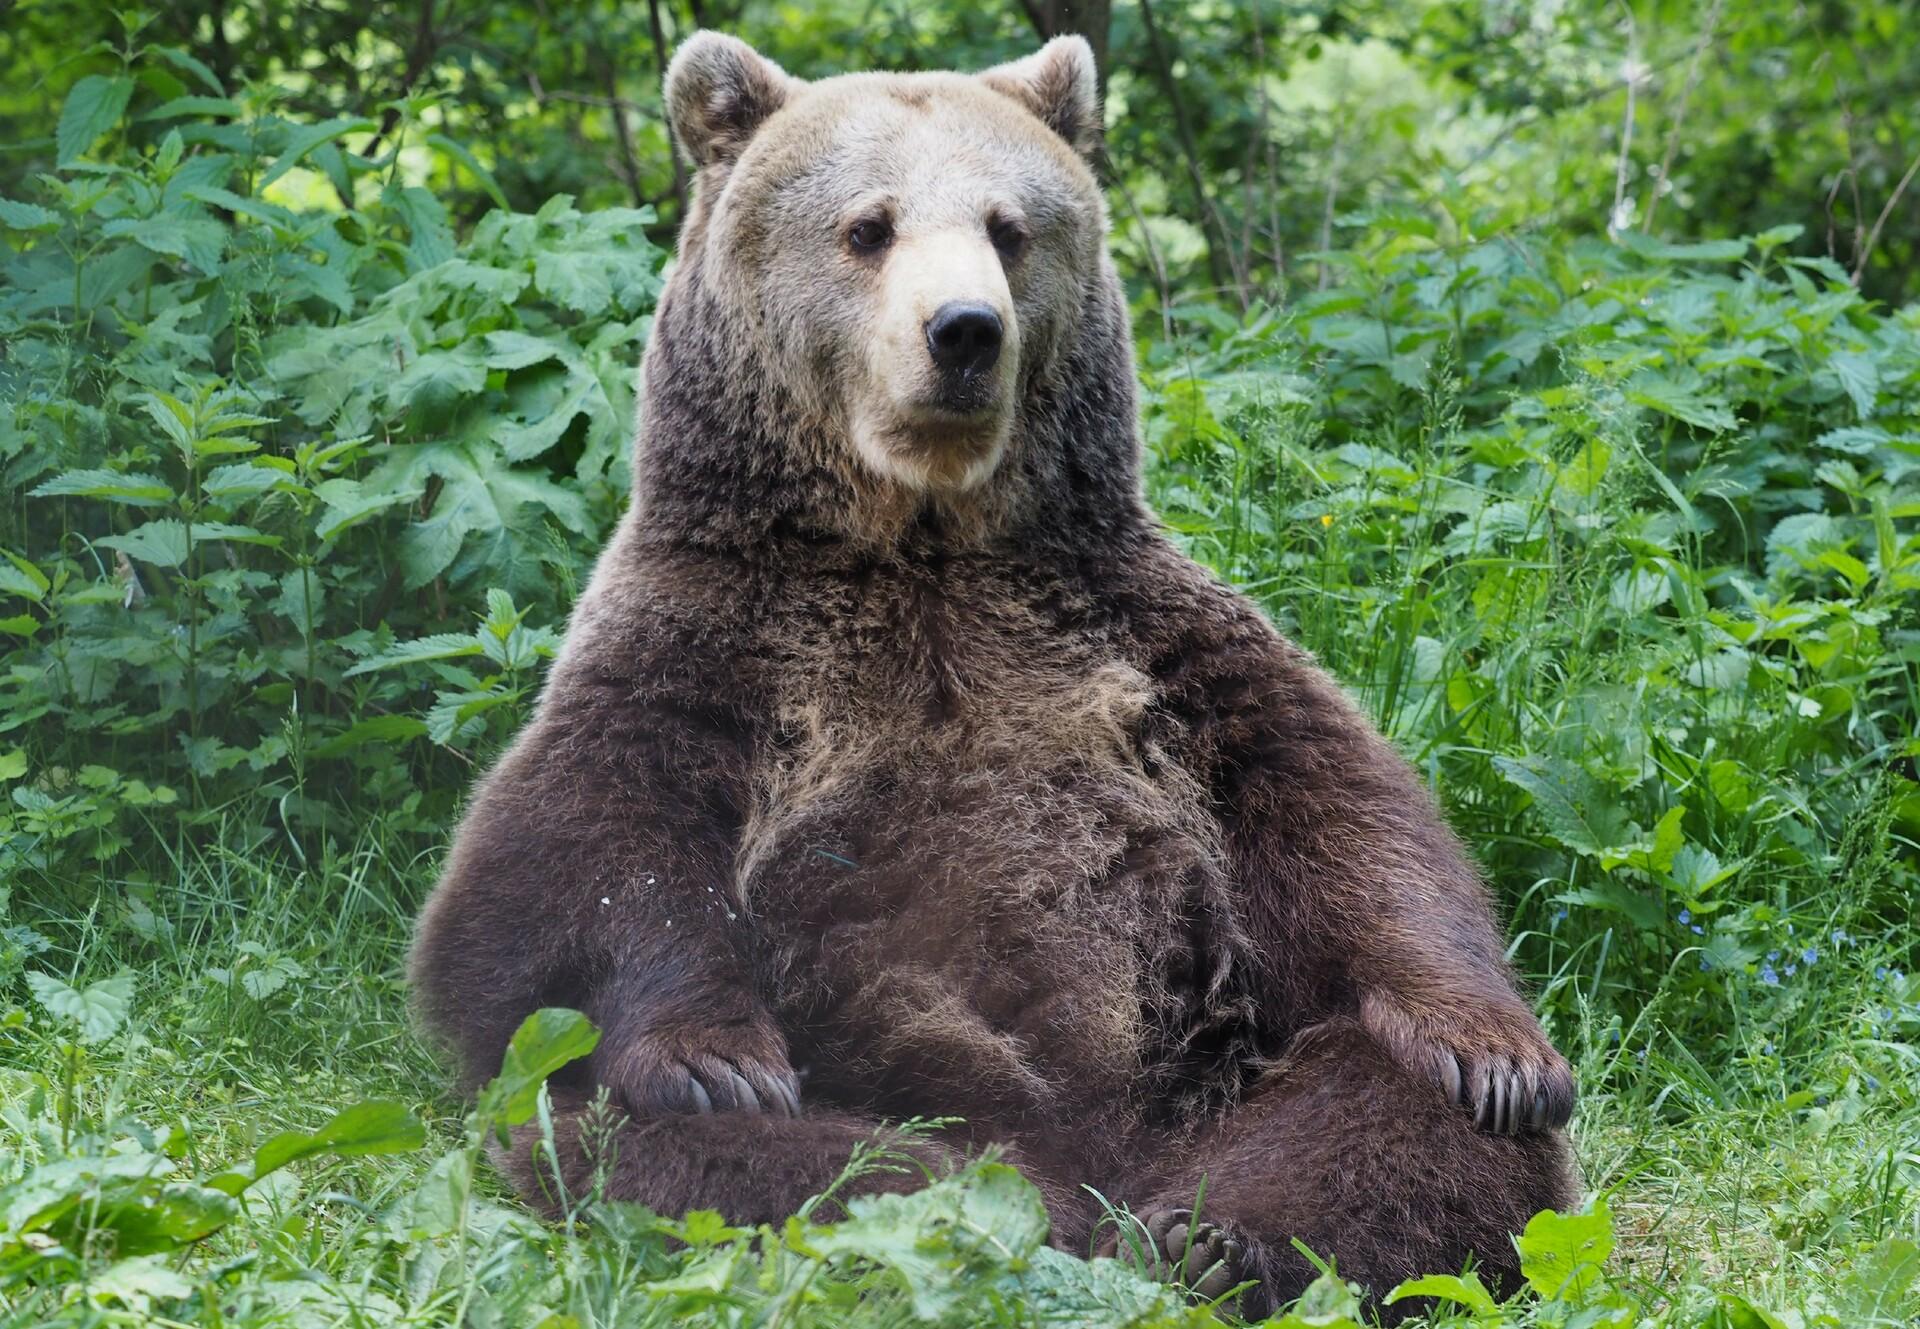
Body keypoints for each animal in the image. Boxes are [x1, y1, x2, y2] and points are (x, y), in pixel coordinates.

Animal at [409, 31, 1579, 1319]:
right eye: (868, 226)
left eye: (1011, 226)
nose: (965, 329)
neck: (920, 536)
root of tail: (1105, 1151)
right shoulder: (706, 646)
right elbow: (564, 874)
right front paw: (715, 1060)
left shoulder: (1148, 643)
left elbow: (1348, 820)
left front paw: (1491, 1052)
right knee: (652, 1148)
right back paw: (986, 1215)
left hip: (1225, 1070)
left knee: (1400, 1126)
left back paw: (1214, 1236)